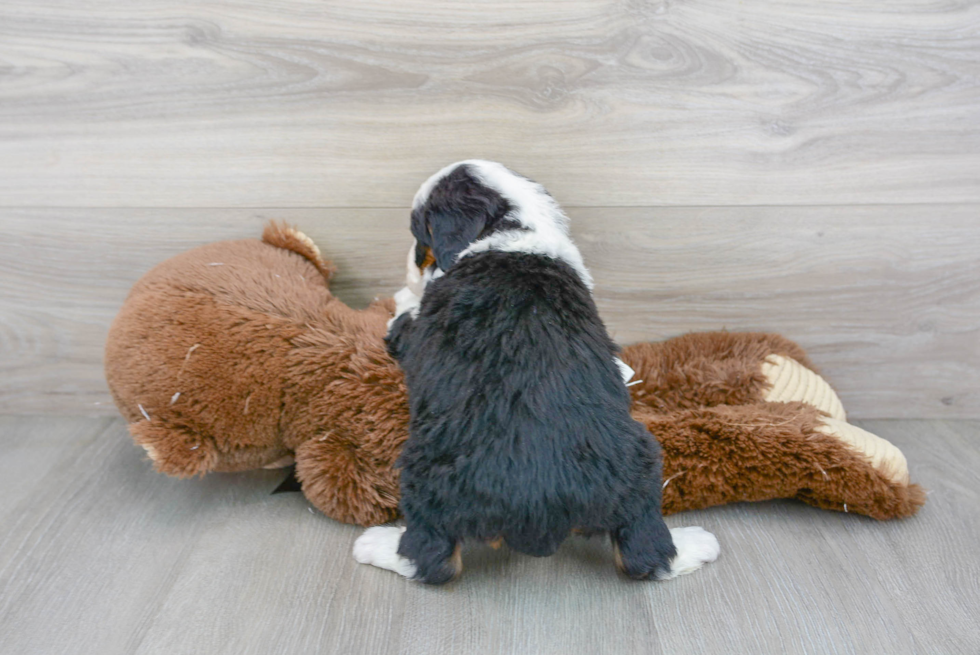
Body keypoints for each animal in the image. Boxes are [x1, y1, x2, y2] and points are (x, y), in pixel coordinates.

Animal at [354, 160, 720, 584]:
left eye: (419, 231)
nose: (410, 266)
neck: (511, 229)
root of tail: (542, 503)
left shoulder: (412, 336)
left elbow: (403, 316)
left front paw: (404, 295)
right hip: (642, 456)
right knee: (645, 551)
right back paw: (698, 545)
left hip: (422, 468)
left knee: (431, 558)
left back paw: (375, 545)